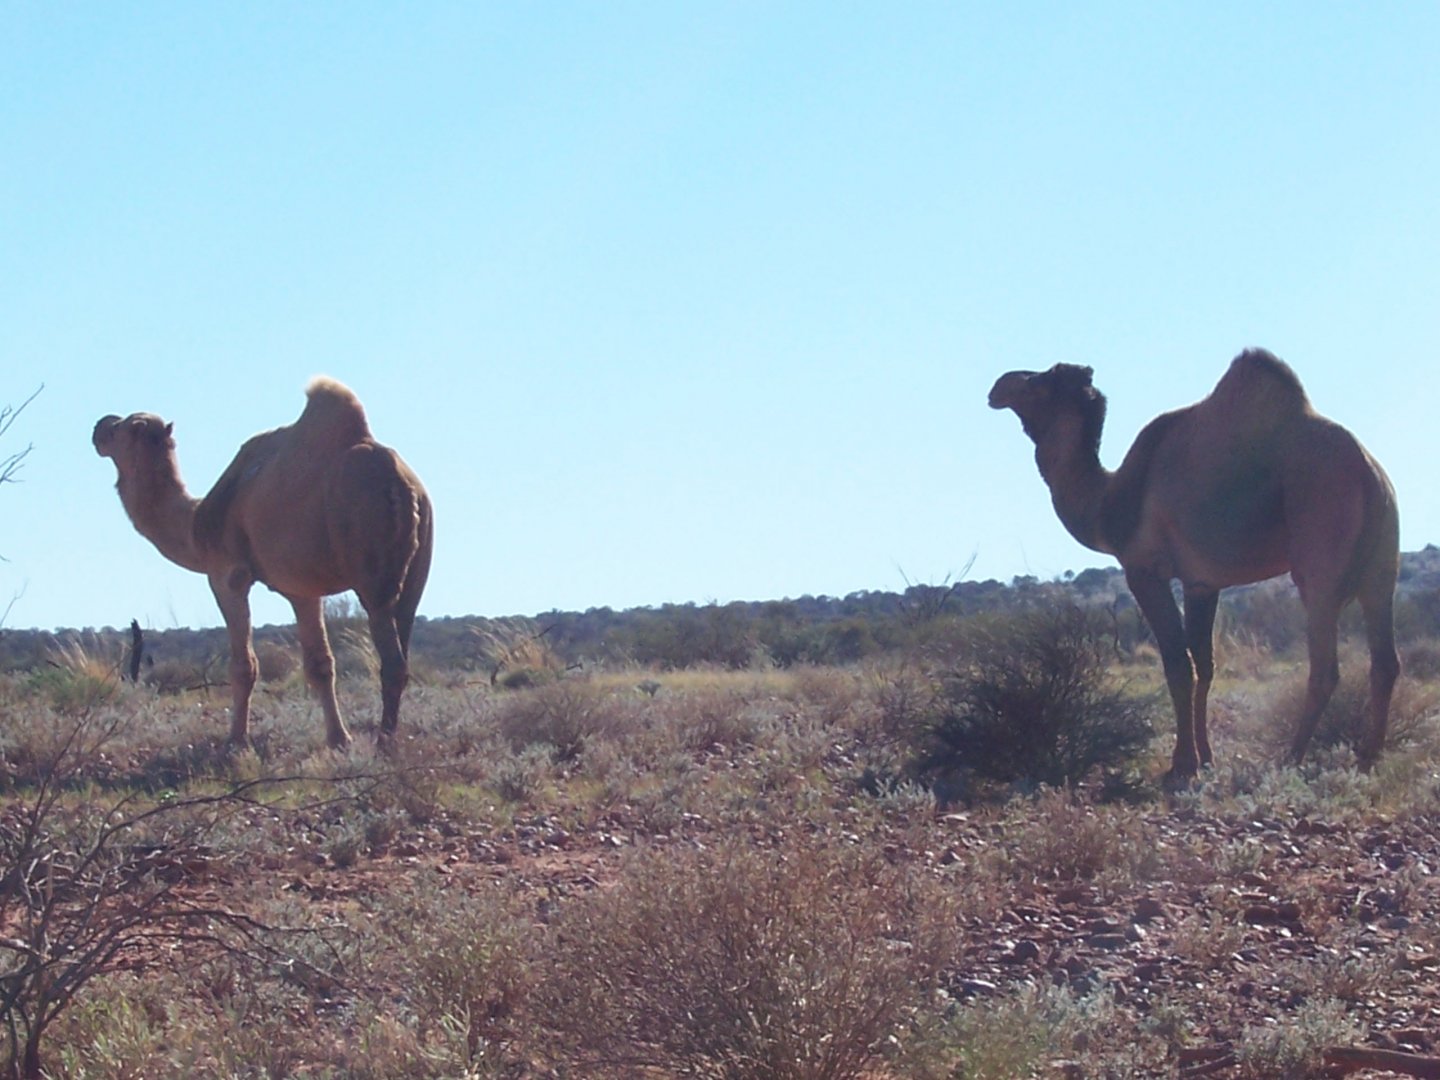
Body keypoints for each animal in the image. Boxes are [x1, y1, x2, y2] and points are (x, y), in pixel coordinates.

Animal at [94, 378, 433, 749]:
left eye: (122, 427)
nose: (99, 427)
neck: (197, 523)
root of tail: (403, 486)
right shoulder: (302, 588)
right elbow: (320, 664)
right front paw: (338, 739)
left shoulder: (227, 575)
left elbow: (244, 665)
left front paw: (236, 740)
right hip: (418, 569)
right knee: (404, 634)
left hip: (371, 566)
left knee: (391, 657)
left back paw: (384, 741)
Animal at [989, 348, 1399, 779]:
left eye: (1040, 381)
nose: (998, 387)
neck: (1109, 502)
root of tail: (1368, 472)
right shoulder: (1201, 582)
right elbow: (1205, 664)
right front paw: (1206, 756)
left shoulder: (1144, 570)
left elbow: (1177, 664)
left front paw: (1182, 764)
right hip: (1383, 562)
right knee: (1385, 661)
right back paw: (1369, 756)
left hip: (1319, 549)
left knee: (1325, 666)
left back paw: (1291, 758)